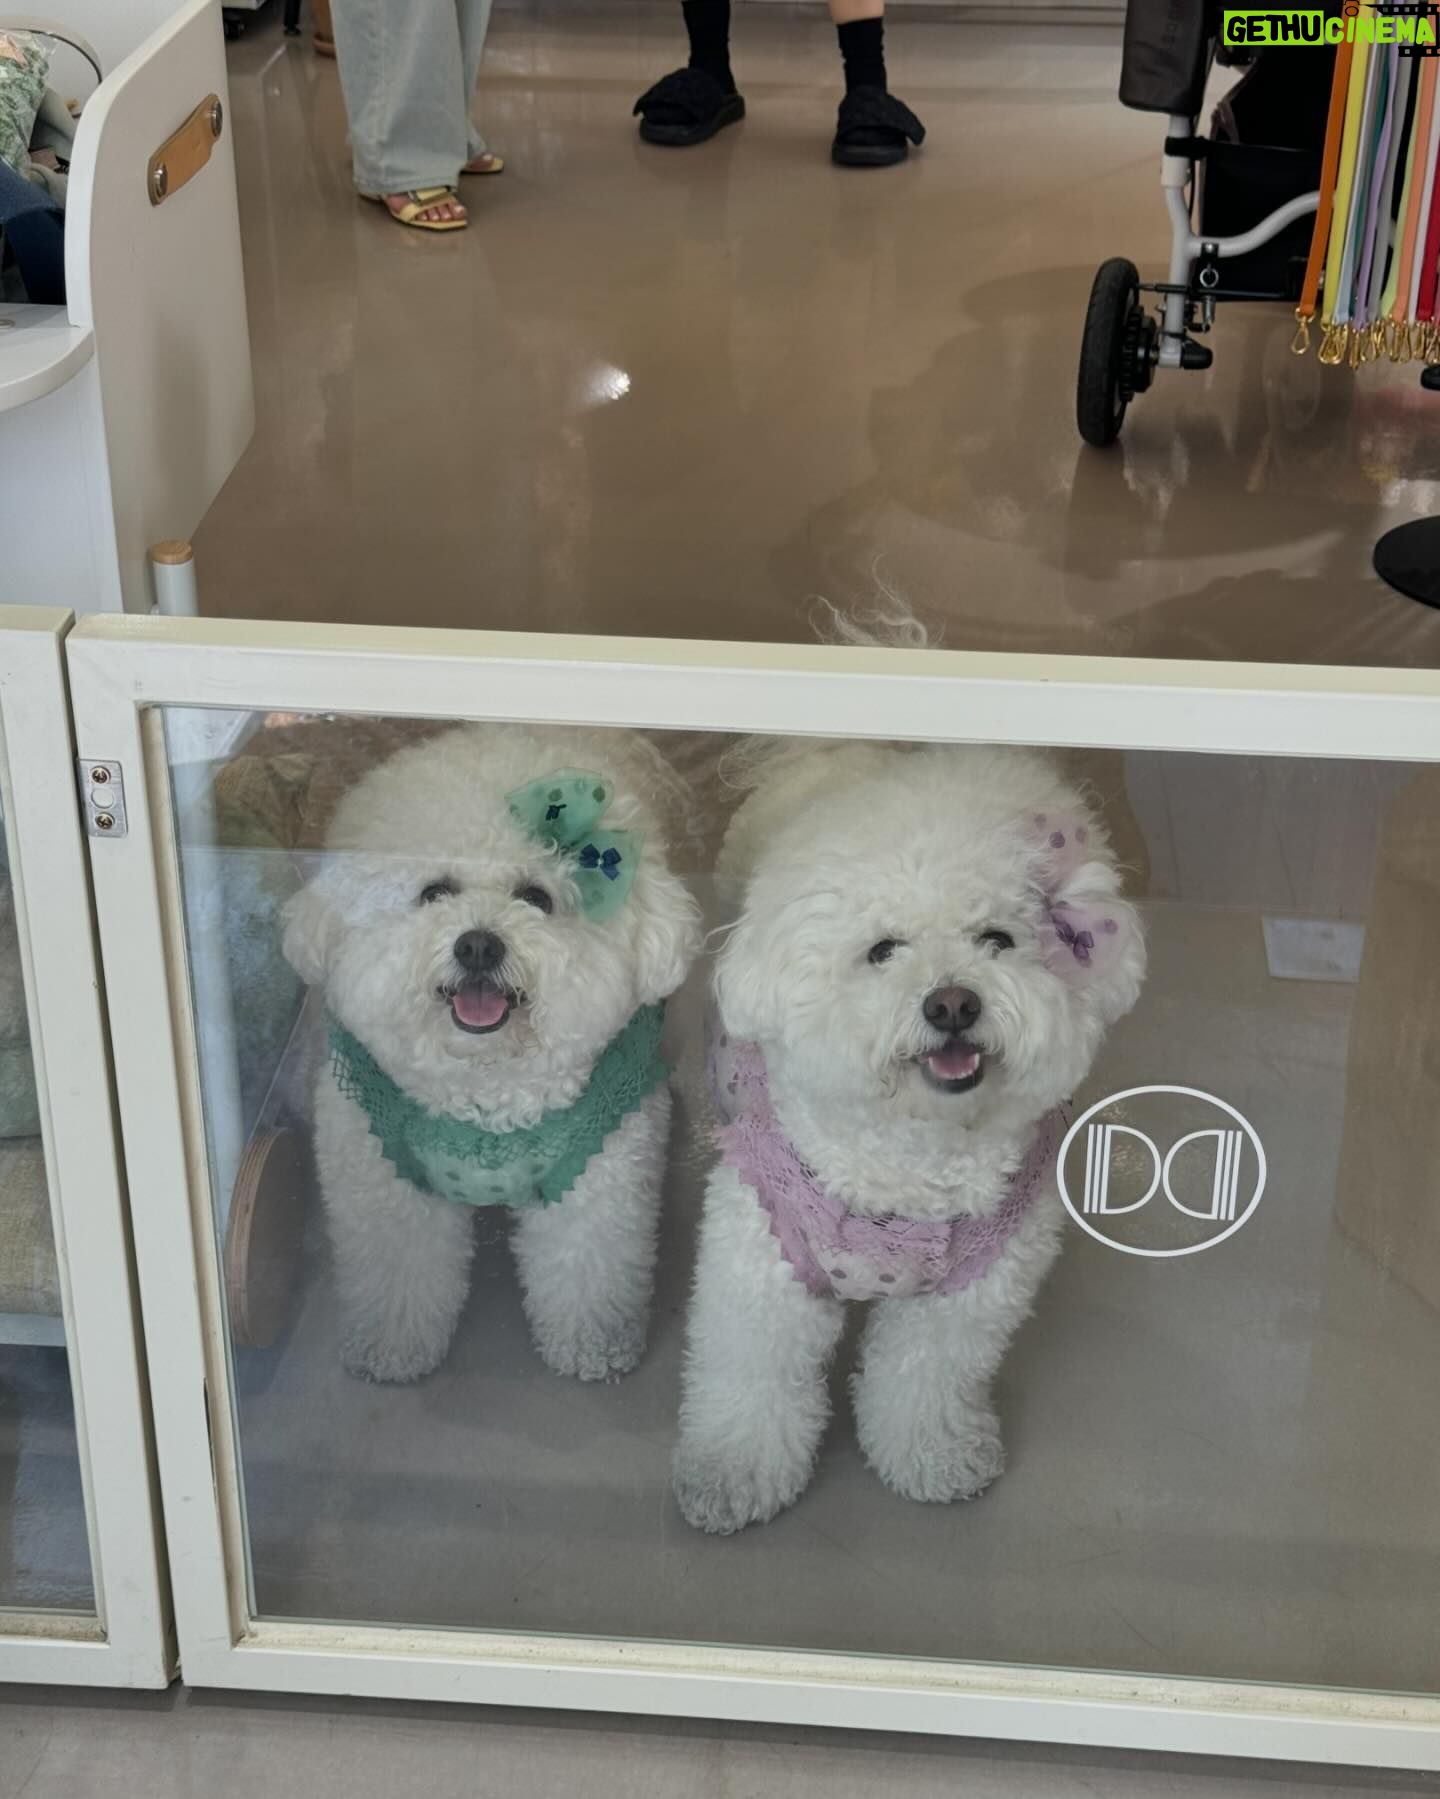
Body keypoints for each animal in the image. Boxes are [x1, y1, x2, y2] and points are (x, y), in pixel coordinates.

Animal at [281, 724, 700, 1385]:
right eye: (434, 892)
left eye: (536, 896)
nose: (478, 944)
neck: (486, 1084)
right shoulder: (380, 1174)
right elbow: (396, 1269)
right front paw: (389, 1350)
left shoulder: (601, 1176)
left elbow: (589, 1271)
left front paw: (591, 1348)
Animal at [672, 740, 1145, 1532]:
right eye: (882, 949)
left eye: (998, 939)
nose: (952, 1002)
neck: (912, 1159)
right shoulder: (763, 1271)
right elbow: (753, 1376)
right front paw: (731, 1473)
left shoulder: (964, 1299)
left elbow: (924, 1379)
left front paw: (936, 1457)